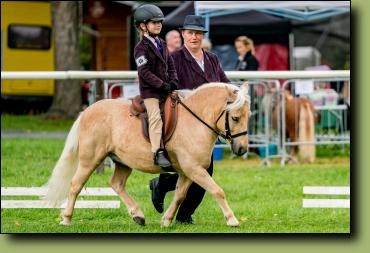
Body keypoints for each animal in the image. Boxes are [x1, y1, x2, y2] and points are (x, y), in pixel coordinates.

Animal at [44, 83, 250, 227]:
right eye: (235, 118)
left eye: (249, 116)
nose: (242, 149)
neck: (194, 121)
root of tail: (87, 110)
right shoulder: (195, 169)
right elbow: (217, 191)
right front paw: (232, 220)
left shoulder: (188, 172)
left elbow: (179, 195)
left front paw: (166, 220)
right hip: (90, 160)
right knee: (75, 185)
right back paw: (66, 219)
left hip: (122, 162)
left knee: (116, 184)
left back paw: (138, 215)